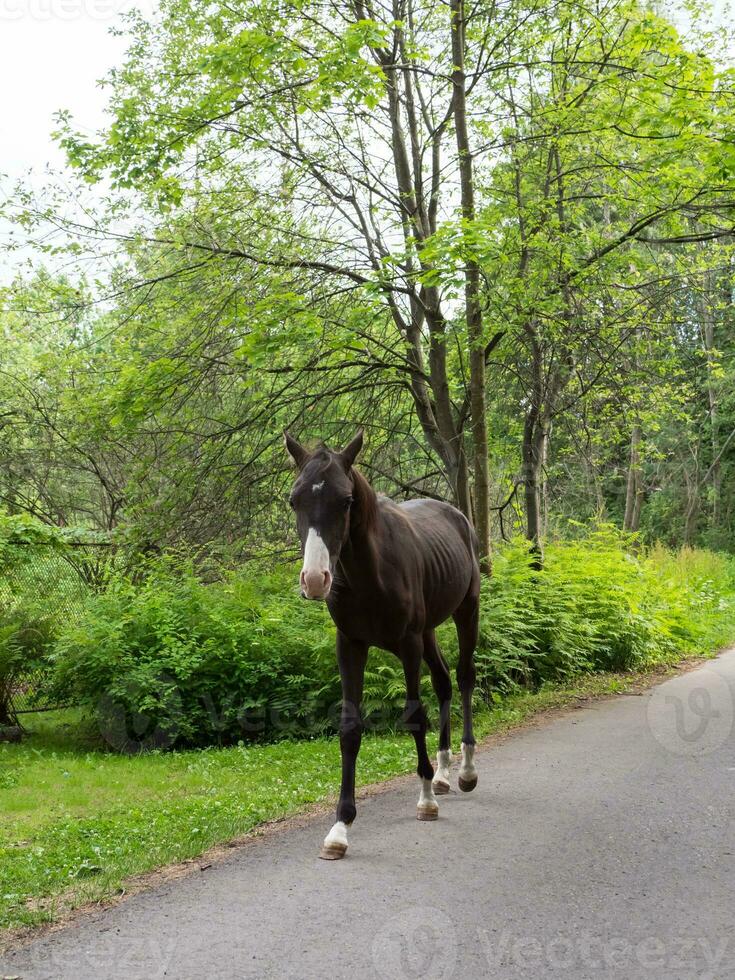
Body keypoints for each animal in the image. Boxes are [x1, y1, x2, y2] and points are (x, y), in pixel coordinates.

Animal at [284, 428, 484, 856]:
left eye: (345, 501)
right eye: (294, 500)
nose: (315, 580)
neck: (369, 574)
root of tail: (457, 516)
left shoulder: (407, 644)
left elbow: (413, 714)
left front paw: (425, 799)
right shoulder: (350, 645)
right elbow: (349, 728)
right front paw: (340, 826)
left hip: (466, 611)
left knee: (463, 678)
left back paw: (465, 770)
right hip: (428, 632)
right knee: (443, 682)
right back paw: (443, 772)